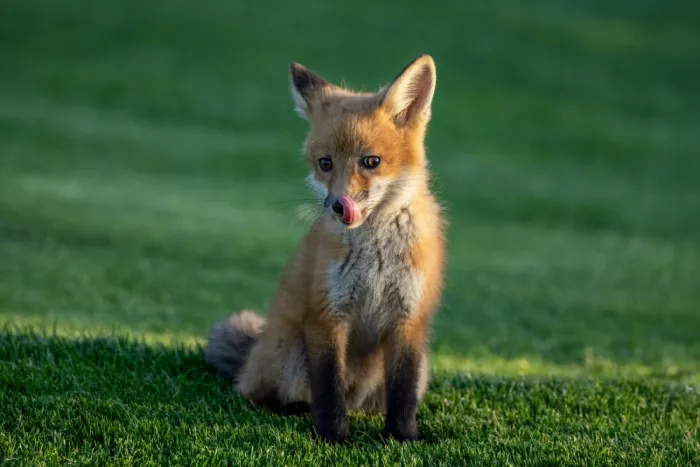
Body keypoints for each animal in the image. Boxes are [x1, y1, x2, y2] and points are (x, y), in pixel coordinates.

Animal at [204, 54, 446, 443]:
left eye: (371, 161)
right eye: (325, 163)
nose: (336, 205)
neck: (374, 257)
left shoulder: (409, 320)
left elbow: (404, 392)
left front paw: (403, 438)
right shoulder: (327, 314)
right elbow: (329, 387)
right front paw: (334, 438)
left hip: (419, 367)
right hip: (289, 355)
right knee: (260, 395)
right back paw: (293, 409)